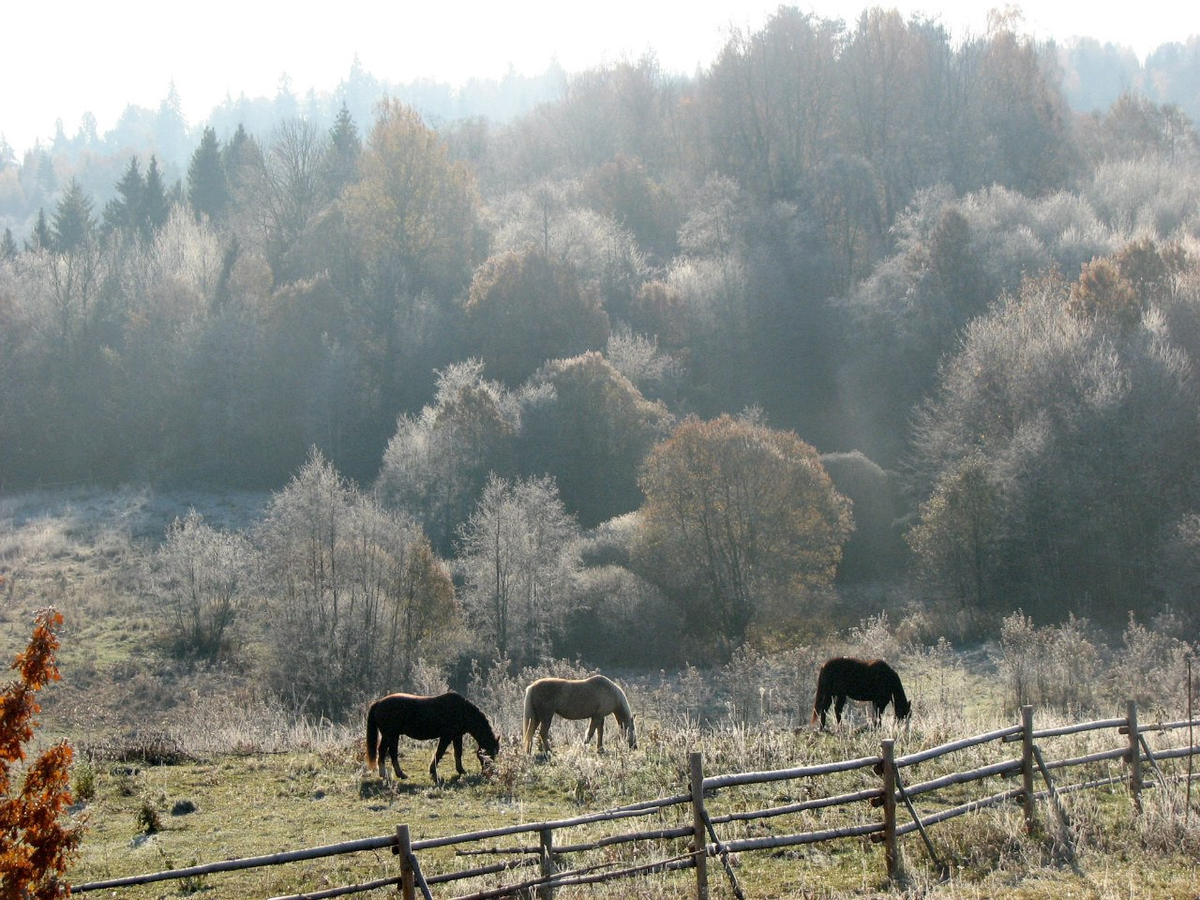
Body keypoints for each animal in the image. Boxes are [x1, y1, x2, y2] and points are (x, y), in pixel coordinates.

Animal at [362, 696, 499, 787]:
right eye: (489, 753)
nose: (489, 773)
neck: (461, 711)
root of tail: (378, 703)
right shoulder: (446, 736)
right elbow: (440, 753)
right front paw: (434, 773)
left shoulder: (457, 736)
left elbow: (458, 753)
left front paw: (461, 771)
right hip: (391, 735)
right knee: (391, 753)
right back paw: (398, 774)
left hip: (389, 736)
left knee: (384, 751)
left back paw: (386, 774)